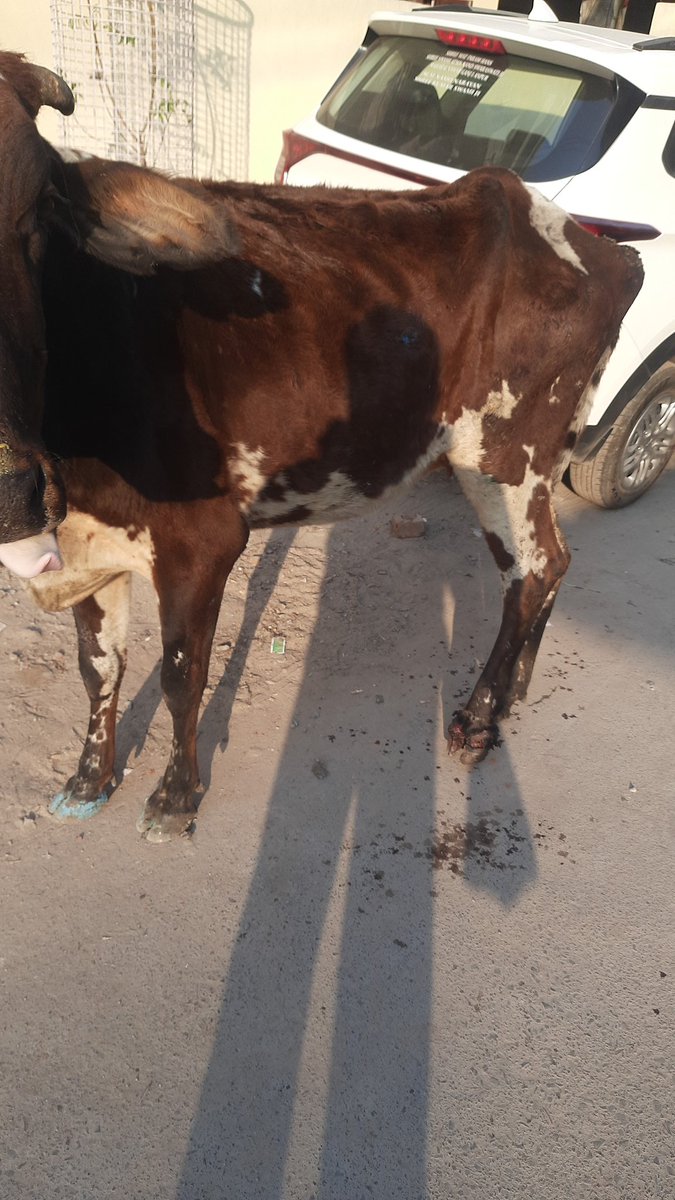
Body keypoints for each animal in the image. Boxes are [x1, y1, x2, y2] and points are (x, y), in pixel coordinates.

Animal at [0, 54, 643, 840]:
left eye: (35, 214)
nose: (12, 491)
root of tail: (589, 242)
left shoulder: (203, 539)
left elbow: (182, 675)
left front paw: (175, 798)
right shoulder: (90, 542)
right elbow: (99, 667)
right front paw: (89, 779)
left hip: (506, 449)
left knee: (534, 566)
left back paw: (477, 719)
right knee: (551, 563)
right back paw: (517, 686)